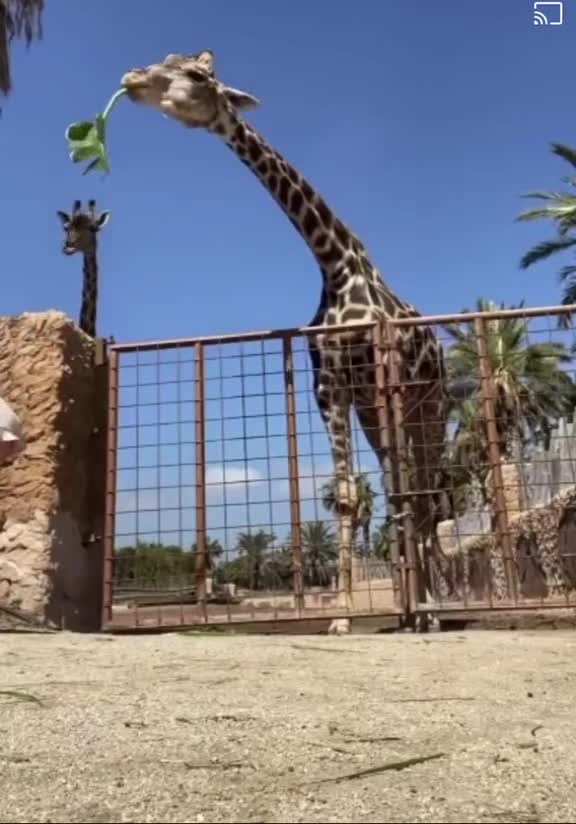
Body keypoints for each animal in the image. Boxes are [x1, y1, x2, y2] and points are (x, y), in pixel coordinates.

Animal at [120, 50, 449, 633]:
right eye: (166, 60)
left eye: (198, 76)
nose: (133, 80)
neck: (336, 264)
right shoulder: (330, 385)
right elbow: (348, 496)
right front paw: (341, 617)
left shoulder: (381, 376)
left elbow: (399, 495)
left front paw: (410, 611)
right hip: (379, 414)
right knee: (402, 488)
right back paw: (415, 611)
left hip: (429, 407)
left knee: (424, 493)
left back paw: (433, 611)